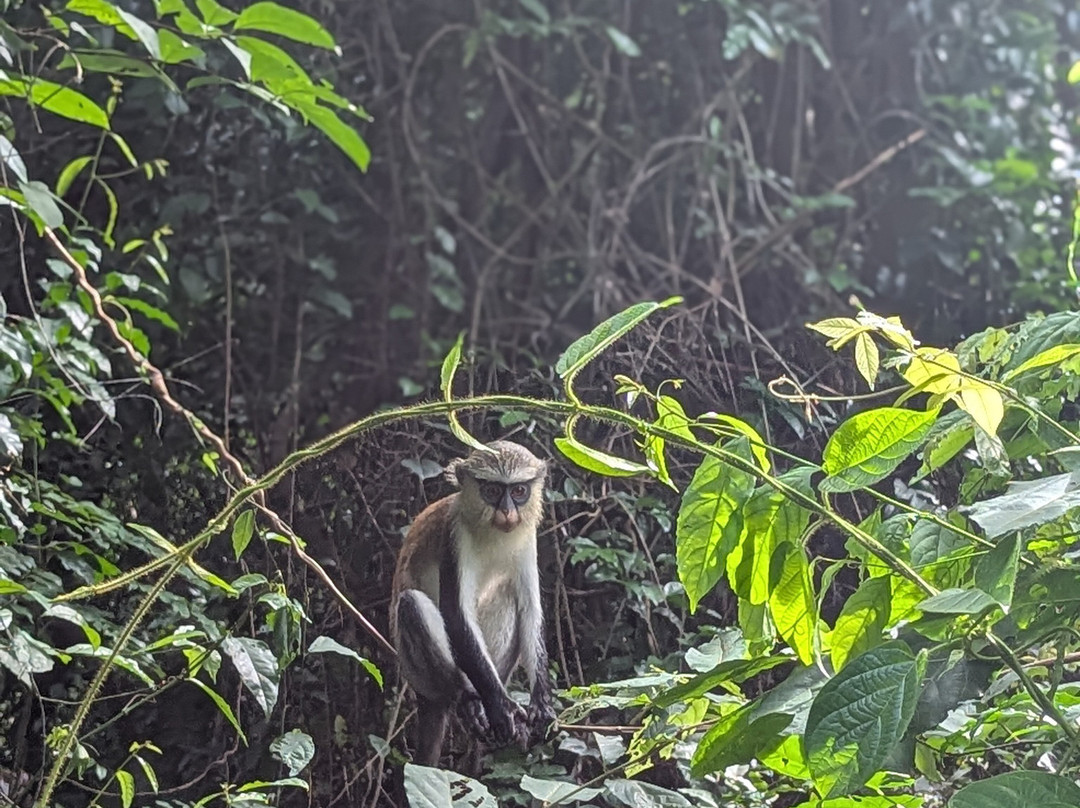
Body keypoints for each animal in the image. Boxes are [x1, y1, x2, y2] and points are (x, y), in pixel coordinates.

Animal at [390, 440, 556, 767]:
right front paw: (502, 707)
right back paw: (468, 698)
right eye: (491, 490)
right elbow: (457, 616)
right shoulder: (454, 536)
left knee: (508, 594)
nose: (507, 512)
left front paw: (541, 703)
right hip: (420, 674)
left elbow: (530, 611)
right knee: (411, 604)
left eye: (519, 491)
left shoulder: (526, 537)